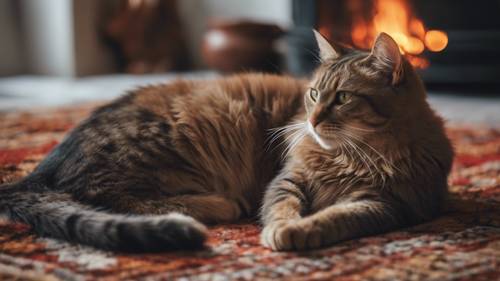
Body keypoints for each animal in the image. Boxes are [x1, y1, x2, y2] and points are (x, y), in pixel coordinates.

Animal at [0, 31, 454, 252]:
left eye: (341, 98)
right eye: (312, 94)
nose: (310, 120)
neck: (352, 157)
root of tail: (41, 168)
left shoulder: (388, 205)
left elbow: (340, 217)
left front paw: (304, 230)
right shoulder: (286, 179)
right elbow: (281, 207)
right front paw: (284, 228)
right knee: (112, 199)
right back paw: (217, 204)